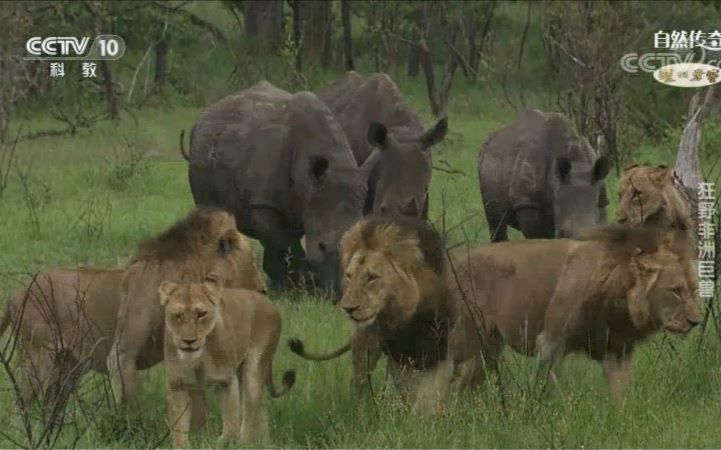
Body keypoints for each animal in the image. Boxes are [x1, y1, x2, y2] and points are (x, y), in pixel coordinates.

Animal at [159, 276, 294, 448]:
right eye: (178, 315)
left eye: (201, 314)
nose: (189, 341)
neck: (198, 358)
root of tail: (267, 301)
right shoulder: (177, 384)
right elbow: (179, 429)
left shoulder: (225, 380)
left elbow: (232, 426)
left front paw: (222, 441)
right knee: (261, 406)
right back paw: (264, 442)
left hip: (253, 369)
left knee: (250, 411)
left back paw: (247, 443)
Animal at [286, 216, 478, 414]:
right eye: (349, 276)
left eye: (372, 277)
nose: (347, 308)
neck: (407, 319)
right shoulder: (399, 359)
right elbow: (412, 393)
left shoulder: (444, 353)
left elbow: (431, 394)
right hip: (365, 348)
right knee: (361, 384)